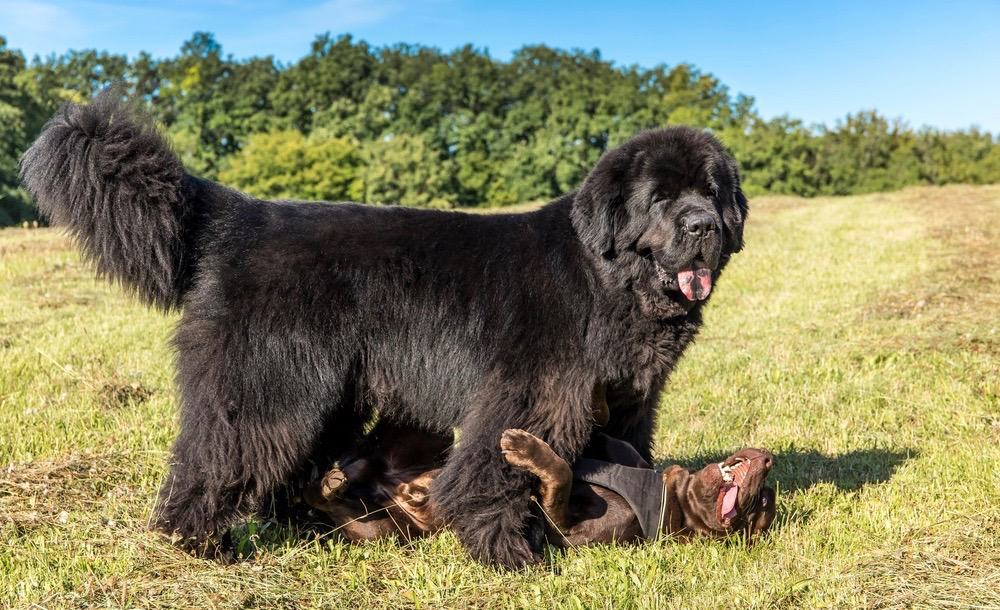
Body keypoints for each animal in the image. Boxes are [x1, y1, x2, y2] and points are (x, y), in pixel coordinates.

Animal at [302, 420, 772, 544]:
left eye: (759, 508)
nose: (767, 461)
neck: (663, 494)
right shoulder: (624, 451)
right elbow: (602, 436)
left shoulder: (568, 530)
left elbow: (560, 475)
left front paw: (527, 450)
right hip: (428, 436)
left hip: (385, 531)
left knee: (343, 511)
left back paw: (327, 486)